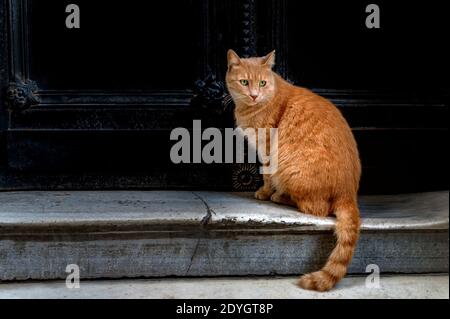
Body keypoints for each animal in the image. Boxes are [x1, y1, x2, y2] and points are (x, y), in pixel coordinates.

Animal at [227, 50, 360, 292]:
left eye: (262, 83)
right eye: (244, 82)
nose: (254, 95)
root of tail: (349, 193)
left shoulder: (266, 147)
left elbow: (266, 174)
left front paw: (265, 191)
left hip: (292, 171)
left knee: (317, 209)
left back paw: (280, 196)